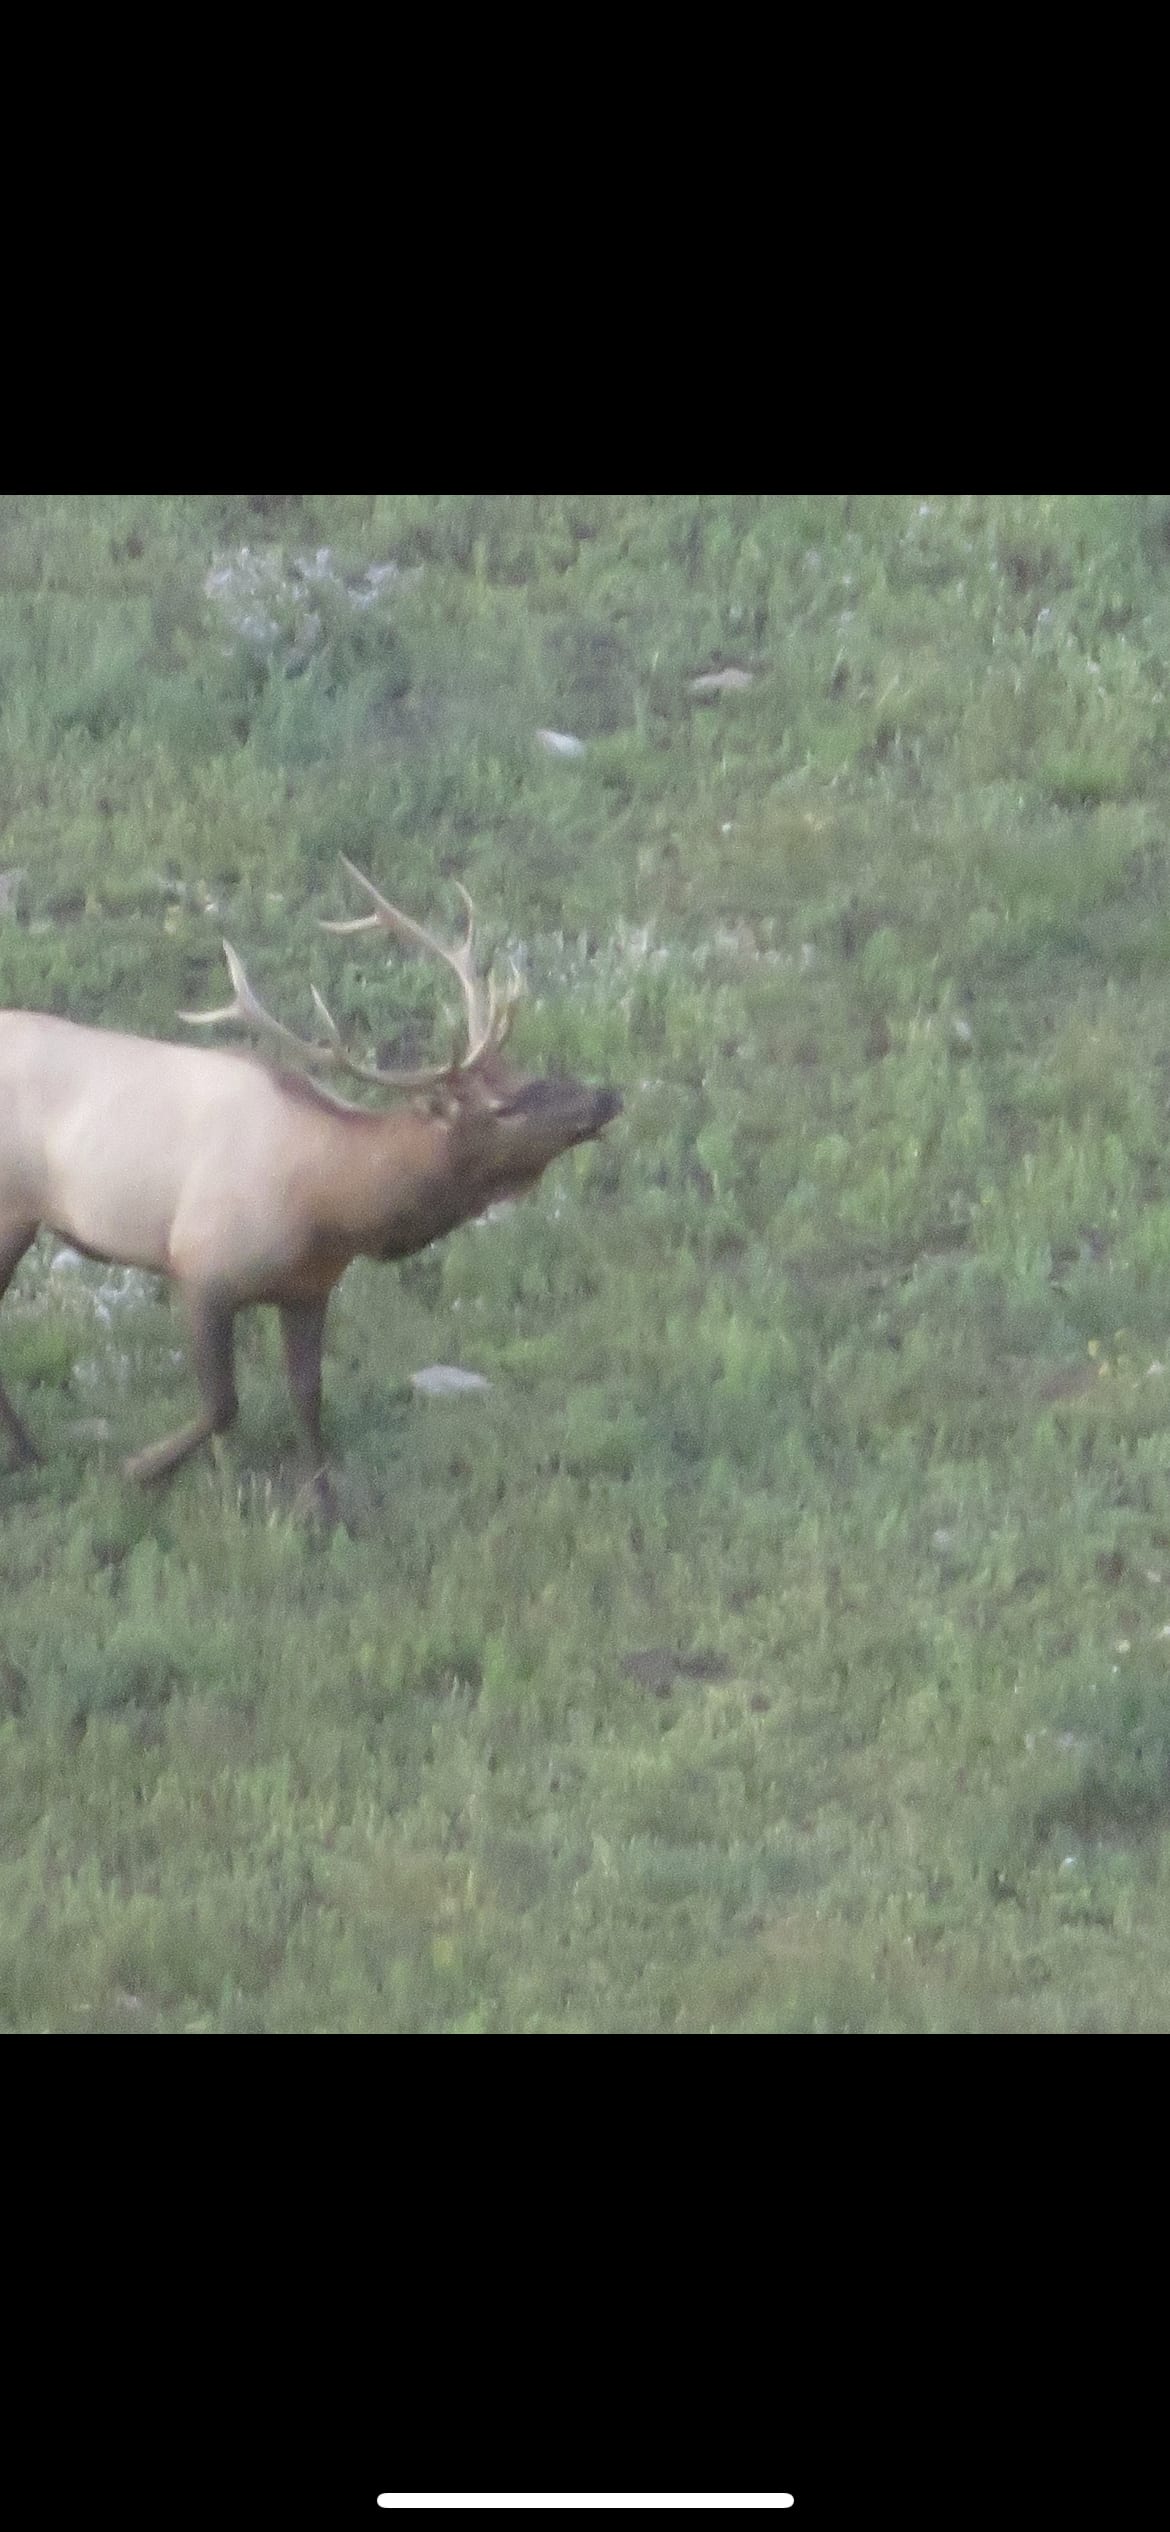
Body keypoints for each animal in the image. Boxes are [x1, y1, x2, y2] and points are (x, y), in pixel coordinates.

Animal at [0, 862, 621, 1510]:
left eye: (523, 1070)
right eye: (502, 1108)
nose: (608, 1096)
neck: (331, 1204)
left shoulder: (309, 1287)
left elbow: (307, 1394)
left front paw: (325, 1510)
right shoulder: (198, 1269)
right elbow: (222, 1406)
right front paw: (140, 1468)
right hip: (12, 1210)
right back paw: (29, 1454)